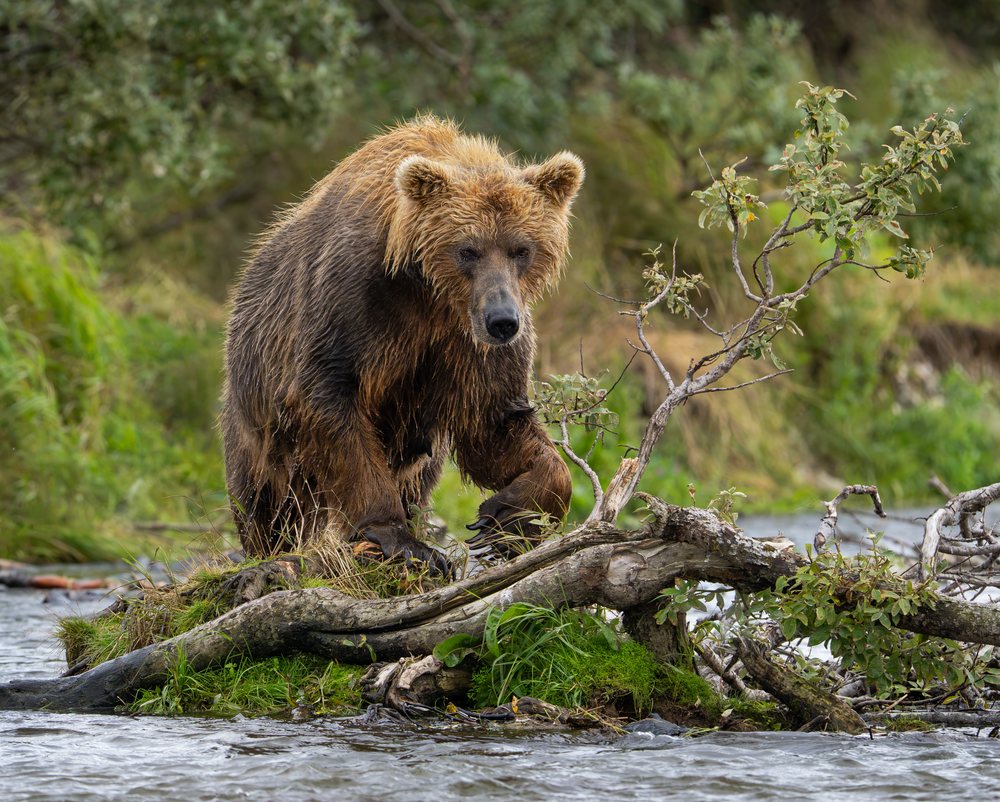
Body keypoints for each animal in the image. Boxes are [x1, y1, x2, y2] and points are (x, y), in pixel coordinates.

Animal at [221, 115, 584, 572]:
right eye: (468, 250)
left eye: (521, 249)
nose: (502, 321)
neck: (429, 293)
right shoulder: (353, 305)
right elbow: (329, 400)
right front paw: (402, 540)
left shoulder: (465, 343)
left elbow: (494, 420)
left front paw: (507, 516)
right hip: (254, 414)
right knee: (266, 498)